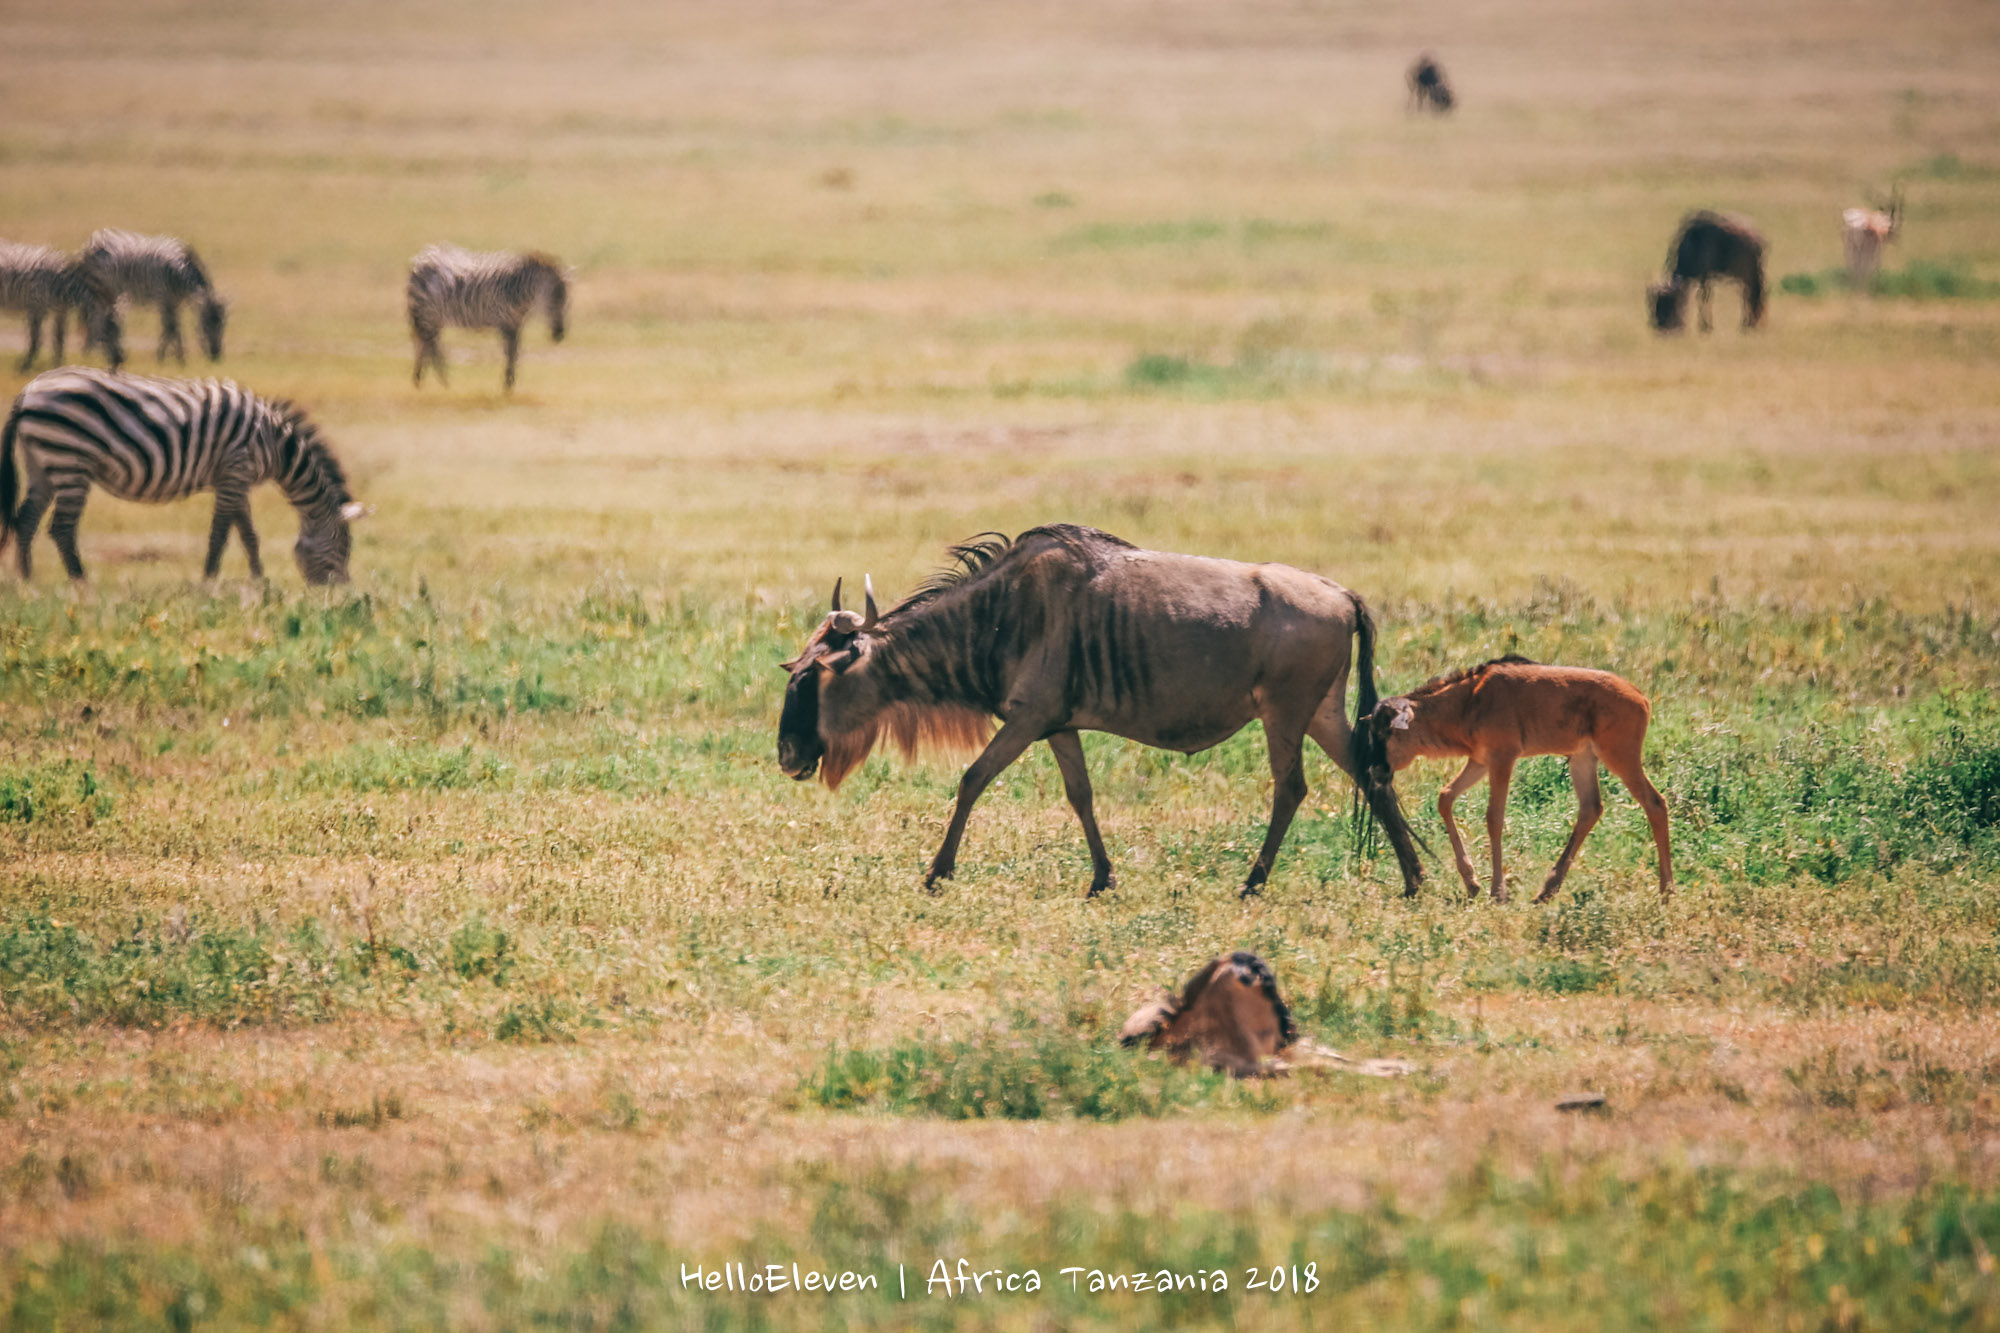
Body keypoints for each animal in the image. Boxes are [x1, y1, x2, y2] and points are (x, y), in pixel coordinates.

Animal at [0, 237, 125, 368]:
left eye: (121, 330)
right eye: (108, 331)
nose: (120, 360)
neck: (61, 285)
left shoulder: (61, 310)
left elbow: (59, 338)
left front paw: (58, 364)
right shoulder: (36, 306)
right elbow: (35, 338)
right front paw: (25, 365)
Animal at [0, 366, 364, 580]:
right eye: (343, 547)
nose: (338, 594)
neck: (275, 445)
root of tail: (29, 390)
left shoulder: (236, 478)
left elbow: (248, 534)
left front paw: (260, 582)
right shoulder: (236, 470)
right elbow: (221, 534)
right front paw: (209, 582)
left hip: (43, 463)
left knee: (26, 520)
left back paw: (28, 584)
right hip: (70, 460)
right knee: (61, 528)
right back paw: (81, 585)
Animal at [79, 228, 229, 364]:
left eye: (223, 325)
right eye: (205, 326)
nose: (215, 356)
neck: (179, 274)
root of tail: (94, 240)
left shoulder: (174, 301)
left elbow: (172, 327)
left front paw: (172, 356)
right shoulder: (162, 297)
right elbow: (171, 327)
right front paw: (172, 358)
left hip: (109, 293)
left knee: (102, 320)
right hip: (100, 290)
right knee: (95, 320)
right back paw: (92, 354)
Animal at [404, 244, 568, 390]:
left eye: (566, 300)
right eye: (553, 298)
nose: (559, 335)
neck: (517, 290)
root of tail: (420, 261)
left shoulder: (515, 323)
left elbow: (514, 353)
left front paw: (509, 384)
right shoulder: (506, 322)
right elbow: (511, 353)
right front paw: (508, 386)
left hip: (431, 317)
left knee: (426, 344)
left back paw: (422, 381)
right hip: (427, 313)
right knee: (429, 345)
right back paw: (442, 382)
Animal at [1360, 652, 1672, 904]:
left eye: (1387, 732)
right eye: (1373, 730)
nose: (1374, 772)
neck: (1469, 700)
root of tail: (1641, 697)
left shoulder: (1502, 759)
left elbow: (1494, 817)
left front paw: (1498, 892)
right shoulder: (1480, 761)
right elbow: (1445, 796)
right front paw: (1472, 883)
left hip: (1620, 757)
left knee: (1655, 803)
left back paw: (1666, 891)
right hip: (1583, 759)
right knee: (1591, 808)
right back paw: (1547, 891)